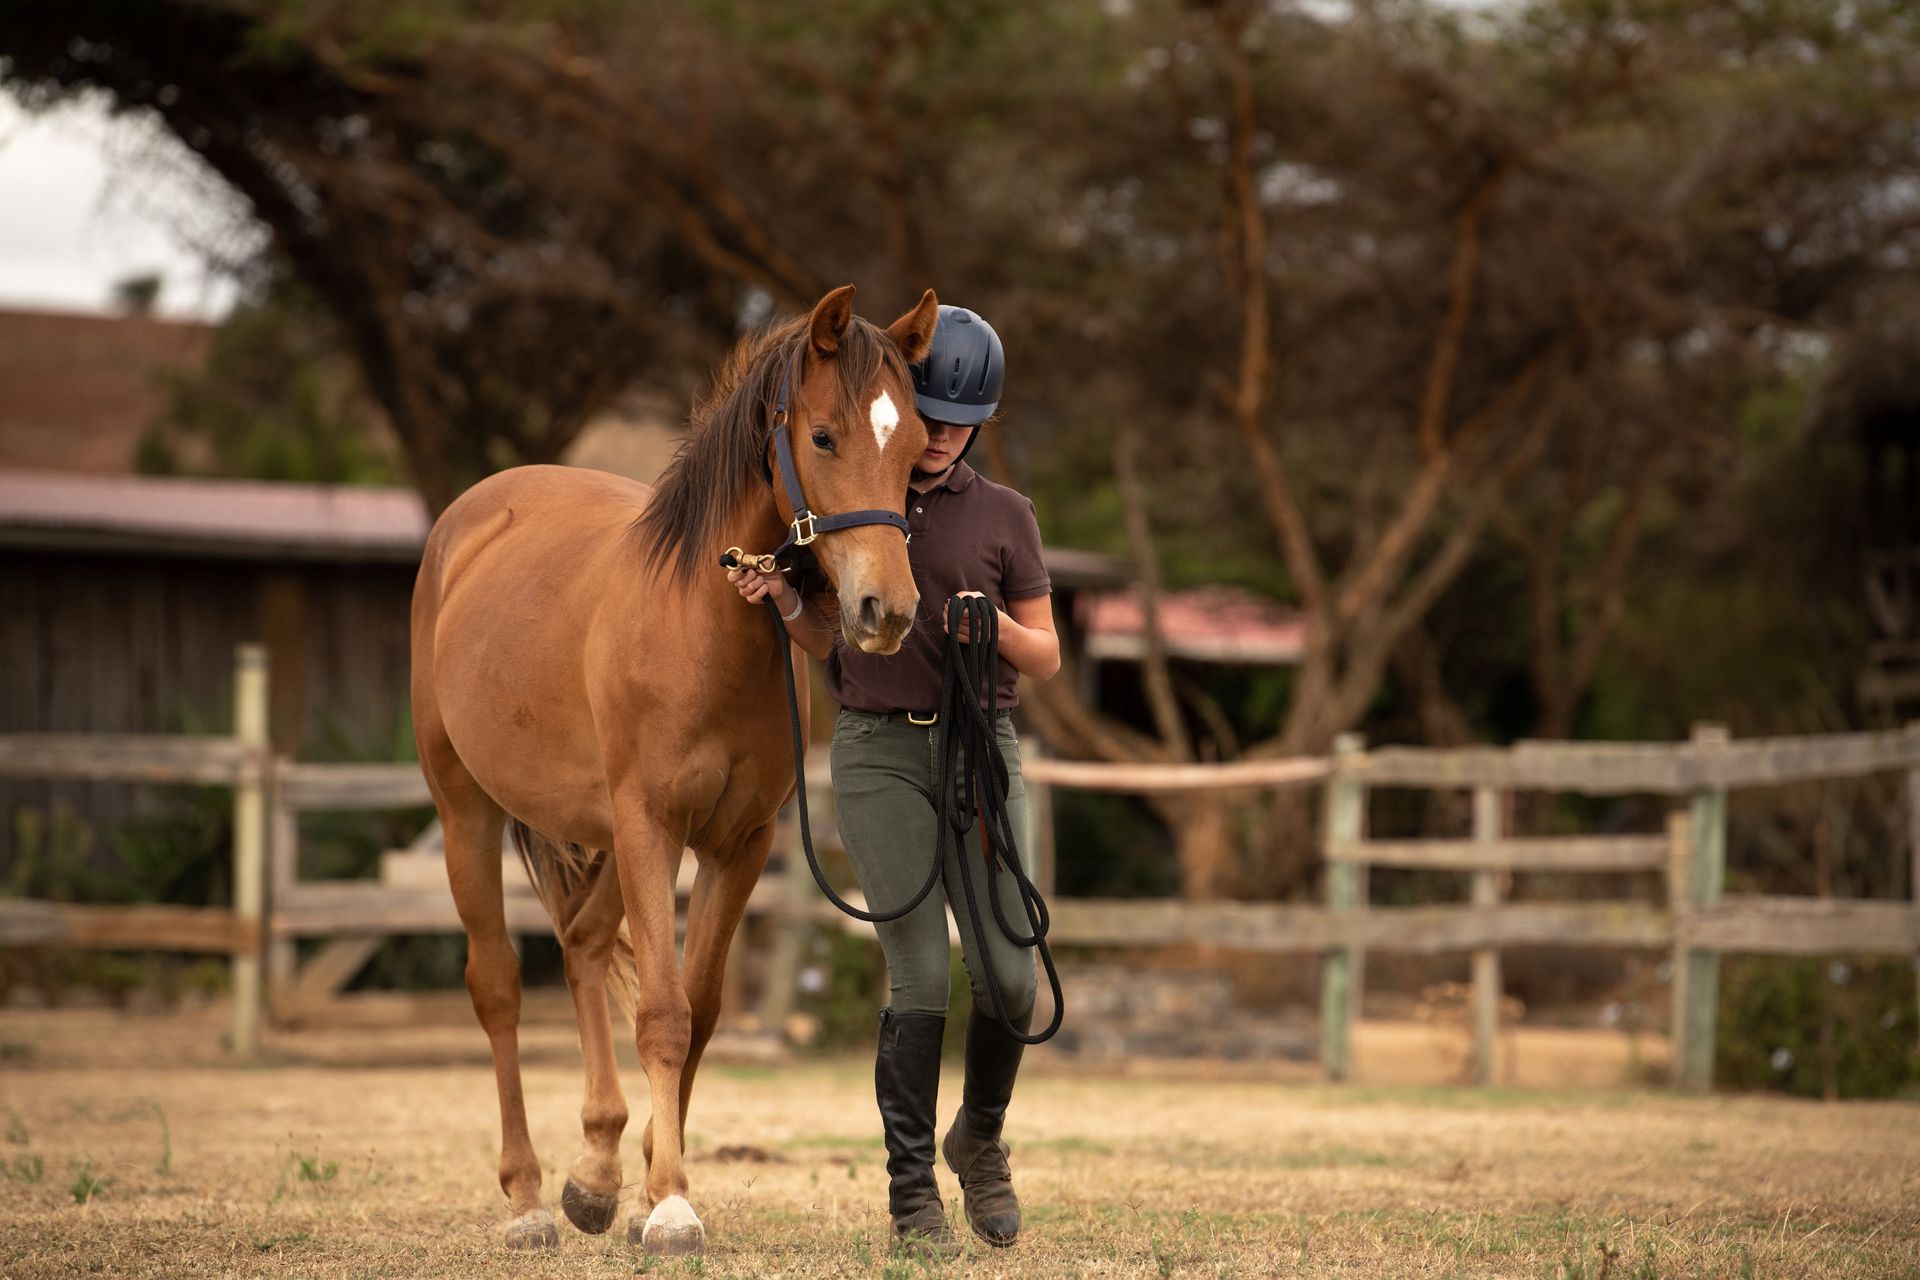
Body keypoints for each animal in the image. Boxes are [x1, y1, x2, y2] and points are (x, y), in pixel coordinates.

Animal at [409, 285, 939, 1254]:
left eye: (918, 445)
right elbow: (662, 1011)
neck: (700, 625)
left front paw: (650, 1189)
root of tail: (472, 519)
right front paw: (672, 1208)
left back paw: (592, 1173)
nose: (886, 611)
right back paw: (527, 1198)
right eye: (824, 438)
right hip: (468, 808)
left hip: (607, 839)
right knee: (497, 985)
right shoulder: (653, 828)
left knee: (582, 945)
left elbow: (701, 1010)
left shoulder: (738, 843)